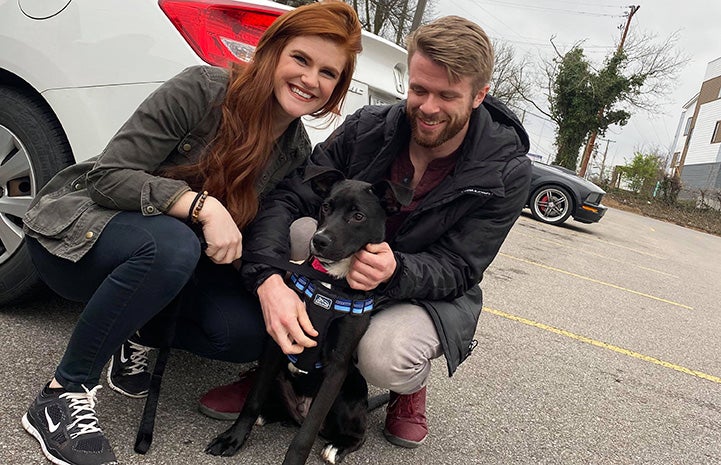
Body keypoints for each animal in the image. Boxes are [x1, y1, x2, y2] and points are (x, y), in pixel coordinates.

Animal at [205, 168, 410, 464]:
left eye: (358, 216)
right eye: (326, 206)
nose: (319, 240)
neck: (331, 282)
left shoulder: (336, 368)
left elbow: (307, 435)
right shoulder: (277, 343)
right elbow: (252, 399)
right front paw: (233, 437)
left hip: (349, 394)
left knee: (351, 433)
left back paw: (337, 446)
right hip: (280, 377)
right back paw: (268, 414)